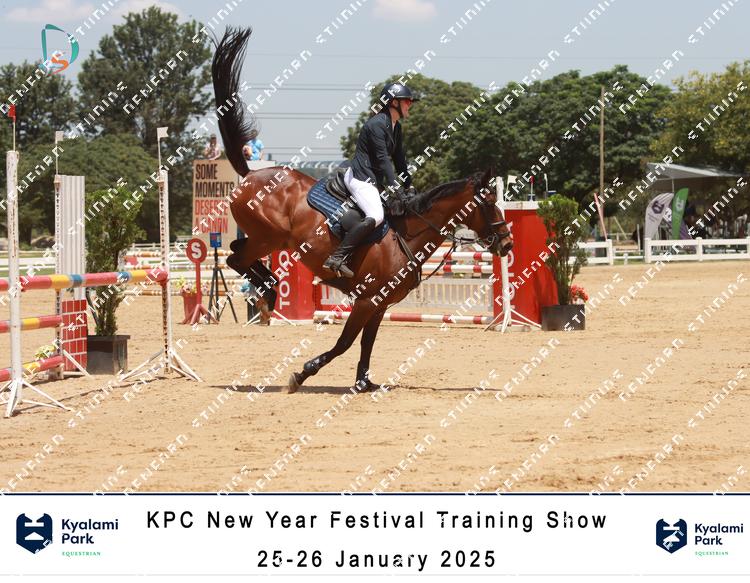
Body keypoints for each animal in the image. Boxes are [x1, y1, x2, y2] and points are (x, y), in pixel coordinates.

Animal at [211, 28, 513, 393]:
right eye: (489, 203)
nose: (507, 243)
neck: (406, 237)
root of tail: (250, 173)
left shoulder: (379, 304)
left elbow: (367, 342)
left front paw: (363, 382)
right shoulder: (366, 300)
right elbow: (344, 343)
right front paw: (303, 372)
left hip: (265, 238)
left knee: (236, 252)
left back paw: (267, 291)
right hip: (268, 237)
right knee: (234, 258)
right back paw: (269, 293)